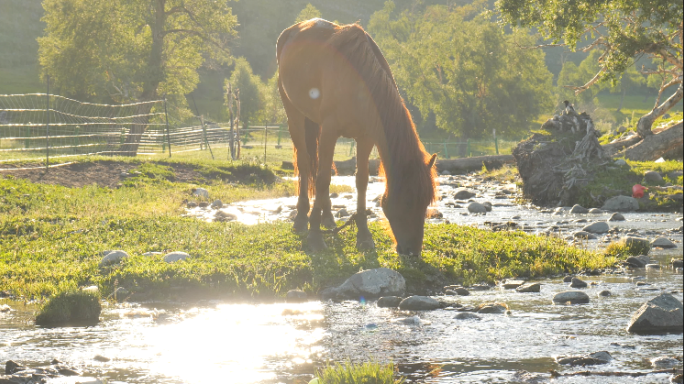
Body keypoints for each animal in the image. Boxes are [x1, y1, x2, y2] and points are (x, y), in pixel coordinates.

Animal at [276, 19, 436, 256]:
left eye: (426, 202)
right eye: (408, 201)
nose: (412, 252)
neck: (358, 82)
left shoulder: (365, 137)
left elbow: (361, 180)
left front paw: (363, 234)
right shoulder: (330, 130)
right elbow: (323, 179)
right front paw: (315, 235)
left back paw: (328, 219)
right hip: (295, 116)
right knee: (306, 166)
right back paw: (302, 219)